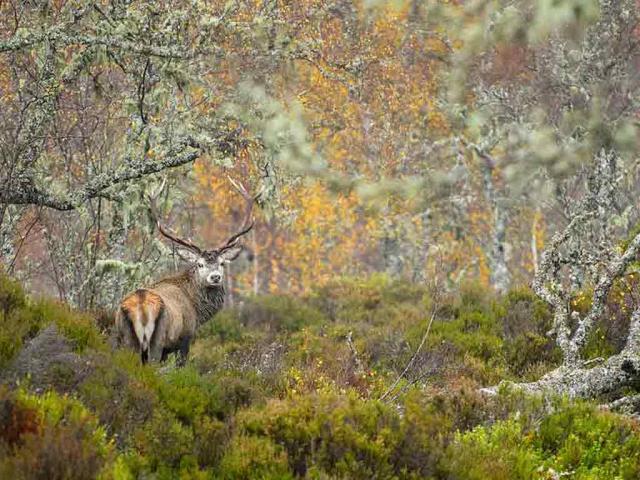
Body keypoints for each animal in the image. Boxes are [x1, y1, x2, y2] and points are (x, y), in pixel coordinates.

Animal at [115, 178, 260, 365]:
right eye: (200, 264)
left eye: (222, 263)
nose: (215, 277)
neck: (197, 311)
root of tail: (140, 305)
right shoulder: (185, 338)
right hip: (157, 340)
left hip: (125, 339)